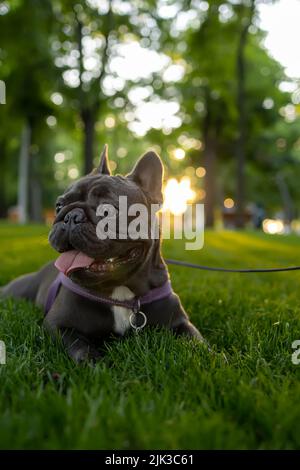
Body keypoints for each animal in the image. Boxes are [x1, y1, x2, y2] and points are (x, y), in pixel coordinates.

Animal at [1, 145, 205, 362]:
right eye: (58, 206)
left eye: (108, 210)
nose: (71, 216)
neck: (120, 292)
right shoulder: (58, 325)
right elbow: (80, 347)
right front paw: (97, 364)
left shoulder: (181, 323)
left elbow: (199, 344)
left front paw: (212, 356)